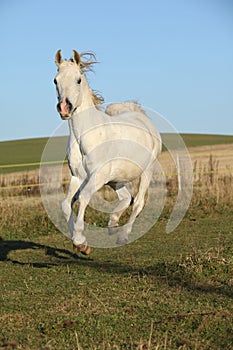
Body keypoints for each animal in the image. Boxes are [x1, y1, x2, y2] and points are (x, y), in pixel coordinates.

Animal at [53, 50, 161, 254]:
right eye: (55, 80)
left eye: (78, 79)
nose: (64, 108)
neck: (85, 136)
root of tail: (140, 115)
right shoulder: (77, 177)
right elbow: (65, 204)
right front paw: (80, 244)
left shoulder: (97, 176)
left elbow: (84, 198)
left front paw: (80, 241)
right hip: (116, 180)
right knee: (127, 198)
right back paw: (112, 224)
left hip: (146, 172)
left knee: (138, 203)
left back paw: (123, 235)